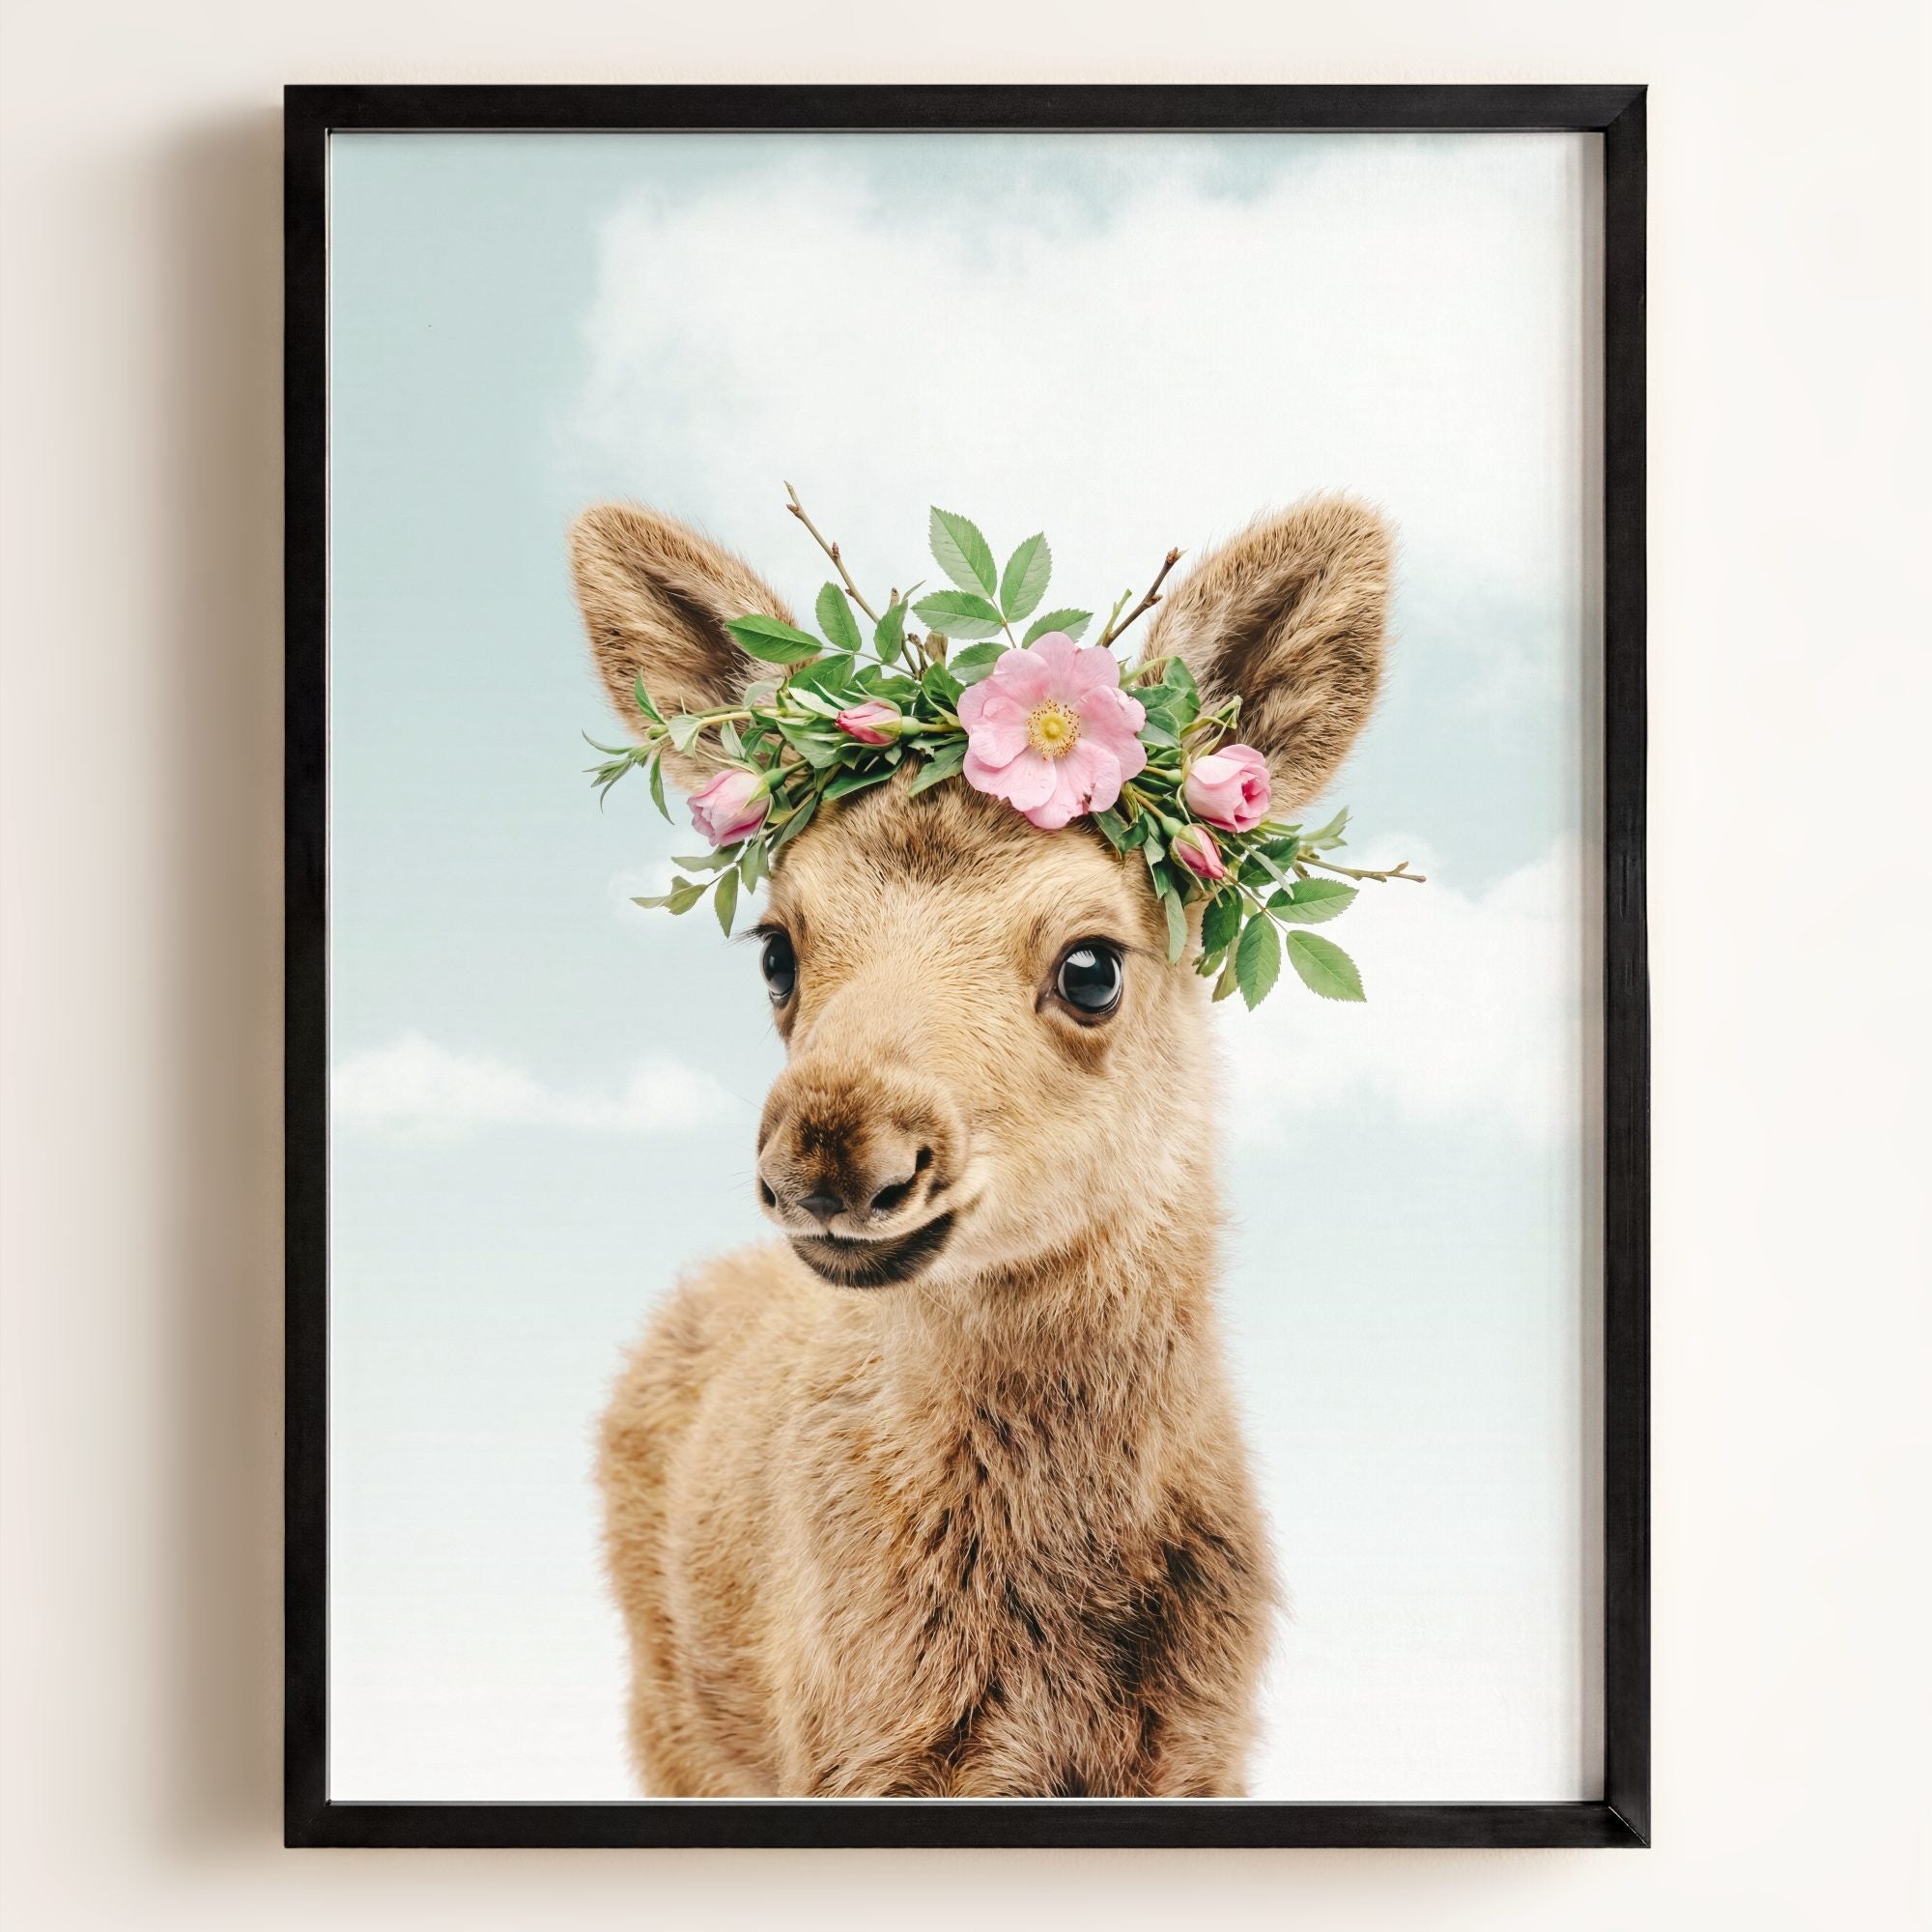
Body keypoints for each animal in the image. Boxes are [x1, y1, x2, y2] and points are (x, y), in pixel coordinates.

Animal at [569, 493, 1391, 1797]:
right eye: (777, 948)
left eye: (1092, 964)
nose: (833, 1153)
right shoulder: (850, 1749)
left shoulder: (1202, 1748)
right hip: (670, 1712)